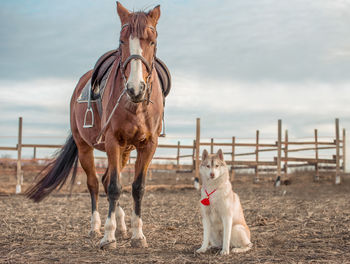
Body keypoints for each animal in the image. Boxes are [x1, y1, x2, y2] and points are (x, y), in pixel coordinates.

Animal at [26, 2, 165, 250]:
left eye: (152, 41)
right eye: (122, 41)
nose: (135, 88)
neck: (135, 105)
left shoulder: (148, 145)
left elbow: (137, 187)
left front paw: (137, 234)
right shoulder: (112, 141)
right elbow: (114, 187)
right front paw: (108, 237)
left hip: (125, 151)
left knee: (108, 179)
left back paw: (121, 225)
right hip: (85, 148)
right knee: (95, 184)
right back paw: (96, 227)